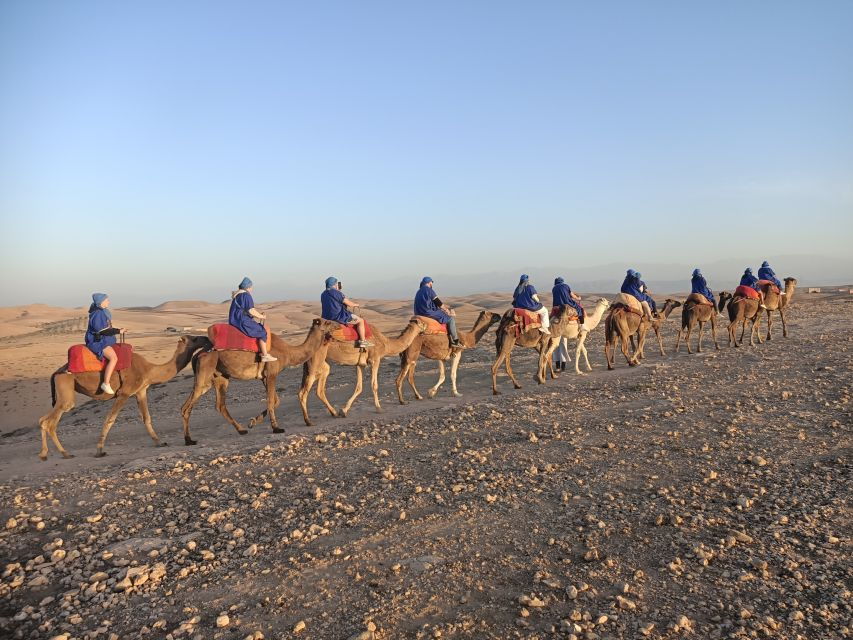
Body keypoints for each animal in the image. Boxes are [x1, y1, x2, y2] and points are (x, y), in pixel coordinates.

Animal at [38, 335, 211, 460]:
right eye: (195, 338)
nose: (207, 338)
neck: (150, 370)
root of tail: (57, 372)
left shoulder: (141, 391)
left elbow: (146, 418)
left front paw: (160, 442)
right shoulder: (124, 393)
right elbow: (110, 420)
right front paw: (99, 451)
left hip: (64, 391)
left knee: (43, 420)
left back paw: (46, 454)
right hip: (66, 387)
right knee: (49, 421)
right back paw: (64, 453)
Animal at [180, 319, 338, 445]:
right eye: (327, 322)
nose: (338, 325)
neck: (288, 352)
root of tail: (198, 354)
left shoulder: (264, 377)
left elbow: (275, 401)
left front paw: (253, 422)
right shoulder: (272, 373)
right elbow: (271, 401)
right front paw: (276, 428)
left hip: (219, 377)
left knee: (219, 405)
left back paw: (241, 430)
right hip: (204, 372)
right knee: (186, 407)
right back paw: (189, 440)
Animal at [298, 317, 428, 426]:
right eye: (421, 323)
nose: (426, 326)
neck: (386, 343)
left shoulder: (360, 364)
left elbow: (359, 387)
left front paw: (343, 411)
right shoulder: (375, 359)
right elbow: (374, 385)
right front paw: (379, 408)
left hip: (318, 364)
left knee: (319, 390)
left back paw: (334, 413)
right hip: (316, 362)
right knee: (303, 393)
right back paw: (308, 421)